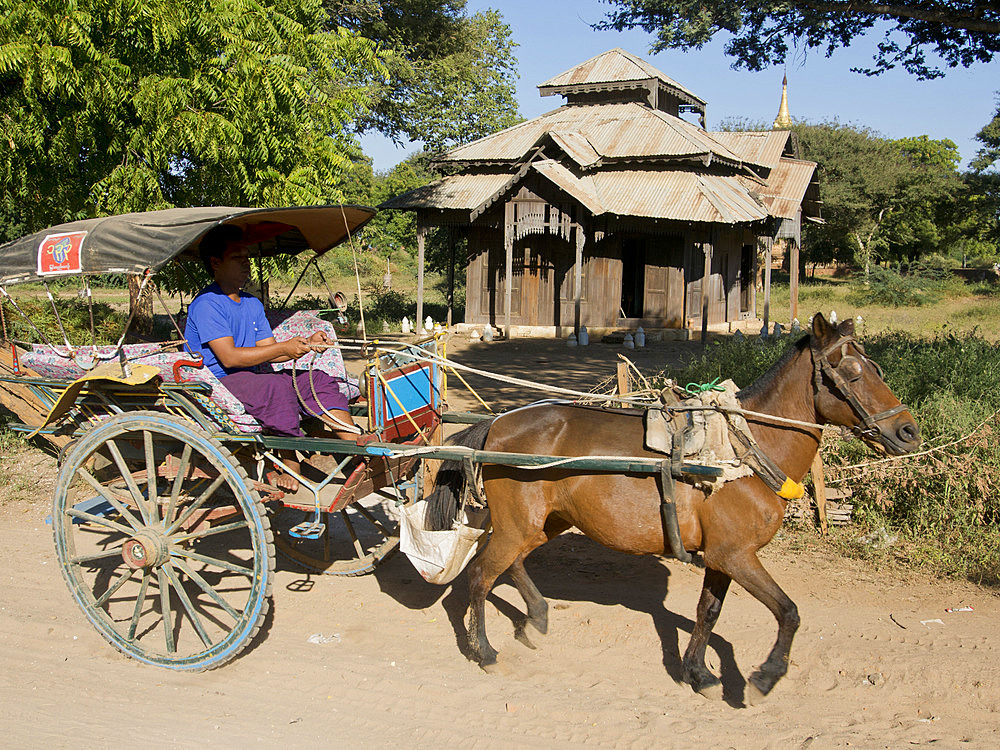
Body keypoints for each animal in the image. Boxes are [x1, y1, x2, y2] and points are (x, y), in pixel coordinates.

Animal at [426, 314, 916, 704]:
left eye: (875, 367)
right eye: (851, 372)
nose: (908, 431)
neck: (740, 450)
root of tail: (499, 423)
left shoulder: (722, 557)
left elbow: (708, 613)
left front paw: (699, 673)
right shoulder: (736, 555)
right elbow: (789, 612)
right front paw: (764, 677)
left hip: (545, 523)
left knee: (513, 564)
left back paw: (536, 619)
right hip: (520, 523)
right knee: (482, 574)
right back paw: (485, 651)